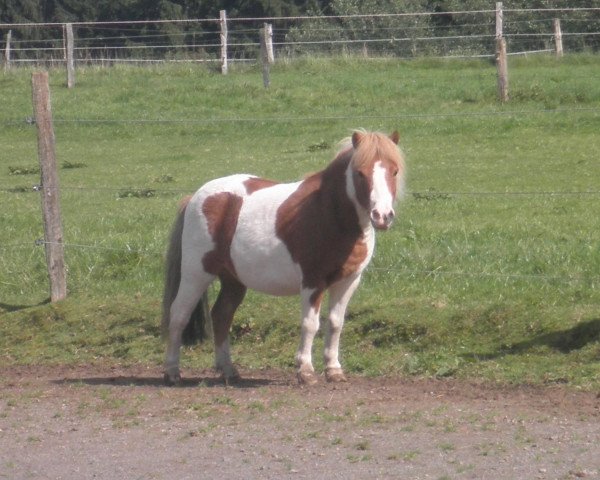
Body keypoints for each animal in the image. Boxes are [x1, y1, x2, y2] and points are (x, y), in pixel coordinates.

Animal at [162, 130, 406, 386]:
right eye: (360, 172)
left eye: (394, 171)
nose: (382, 216)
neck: (330, 212)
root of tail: (196, 197)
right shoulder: (312, 281)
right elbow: (310, 324)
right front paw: (305, 371)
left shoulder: (348, 281)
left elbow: (335, 324)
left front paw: (334, 370)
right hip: (196, 273)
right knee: (178, 315)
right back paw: (172, 372)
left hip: (233, 280)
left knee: (221, 316)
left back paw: (228, 370)